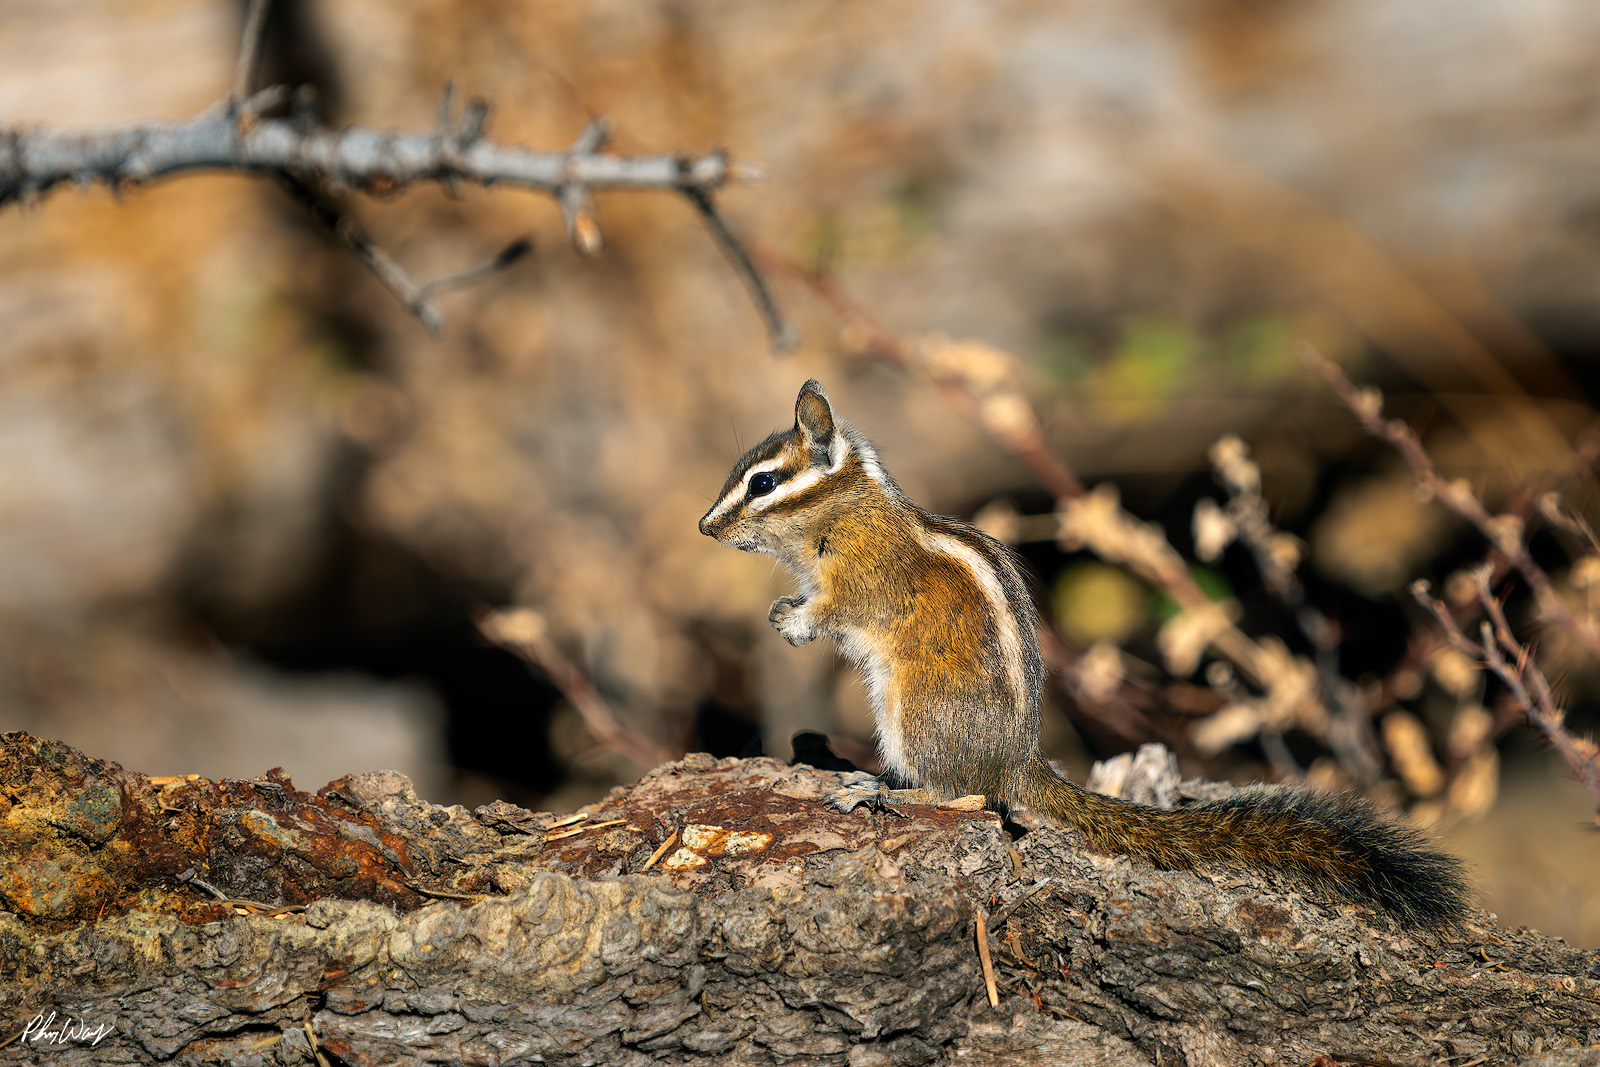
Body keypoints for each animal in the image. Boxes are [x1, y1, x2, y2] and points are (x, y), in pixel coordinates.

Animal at [699, 379, 1468, 929]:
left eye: (763, 483)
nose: (705, 527)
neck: (846, 507)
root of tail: (1019, 759)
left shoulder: (863, 579)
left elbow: (836, 610)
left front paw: (793, 621)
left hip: (912, 711)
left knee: (968, 794)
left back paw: (881, 789)